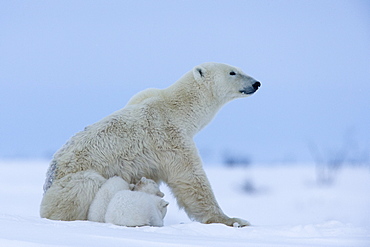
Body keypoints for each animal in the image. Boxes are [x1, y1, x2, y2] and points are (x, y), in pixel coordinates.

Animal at [39, 62, 260, 228]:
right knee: (85, 184)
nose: (256, 83)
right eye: (233, 72)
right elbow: (190, 178)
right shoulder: (169, 136)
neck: (178, 109)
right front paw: (234, 220)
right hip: (65, 185)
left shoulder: (142, 97)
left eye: (239, 68)